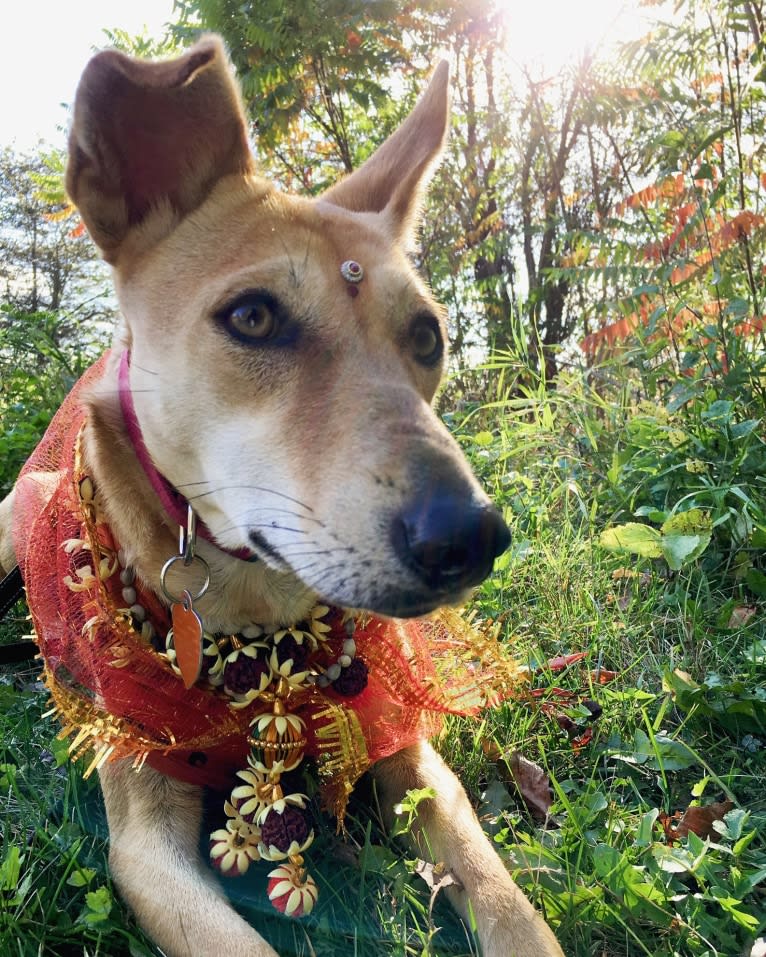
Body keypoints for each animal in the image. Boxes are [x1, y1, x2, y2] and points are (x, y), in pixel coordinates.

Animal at [0, 37, 564, 956]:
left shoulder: (415, 757)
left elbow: (508, 903)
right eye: (254, 317)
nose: (471, 539)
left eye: (428, 336)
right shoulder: (144, 842)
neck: (257, 621)